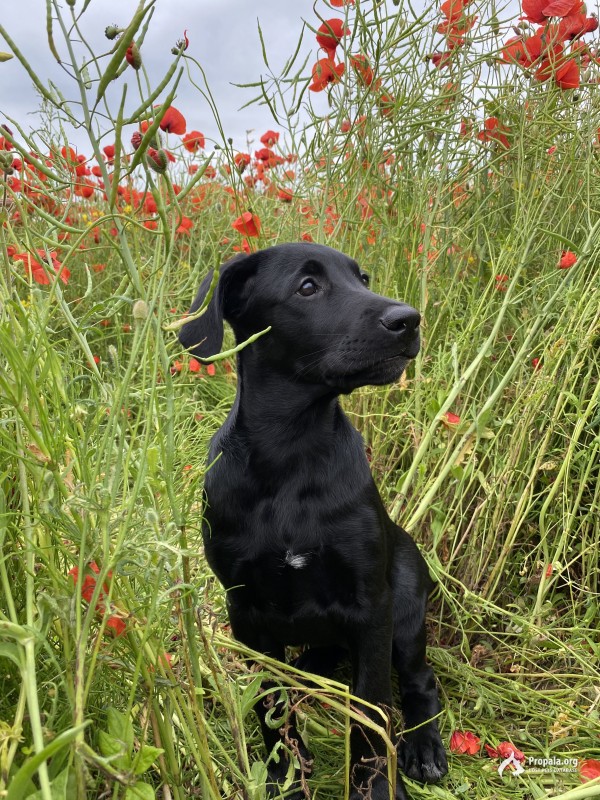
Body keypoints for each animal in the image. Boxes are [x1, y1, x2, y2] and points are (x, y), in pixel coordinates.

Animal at [180, 244, 448, 800]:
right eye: (308, 287)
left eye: (363, 278)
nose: (409, 320)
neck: (292, 455)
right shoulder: (245, 609)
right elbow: (271, 707)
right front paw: (285, 778)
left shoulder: (372, 607)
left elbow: (371, 714)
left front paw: (376, 788)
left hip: (406, 610)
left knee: (419, 682)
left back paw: (423, 747)